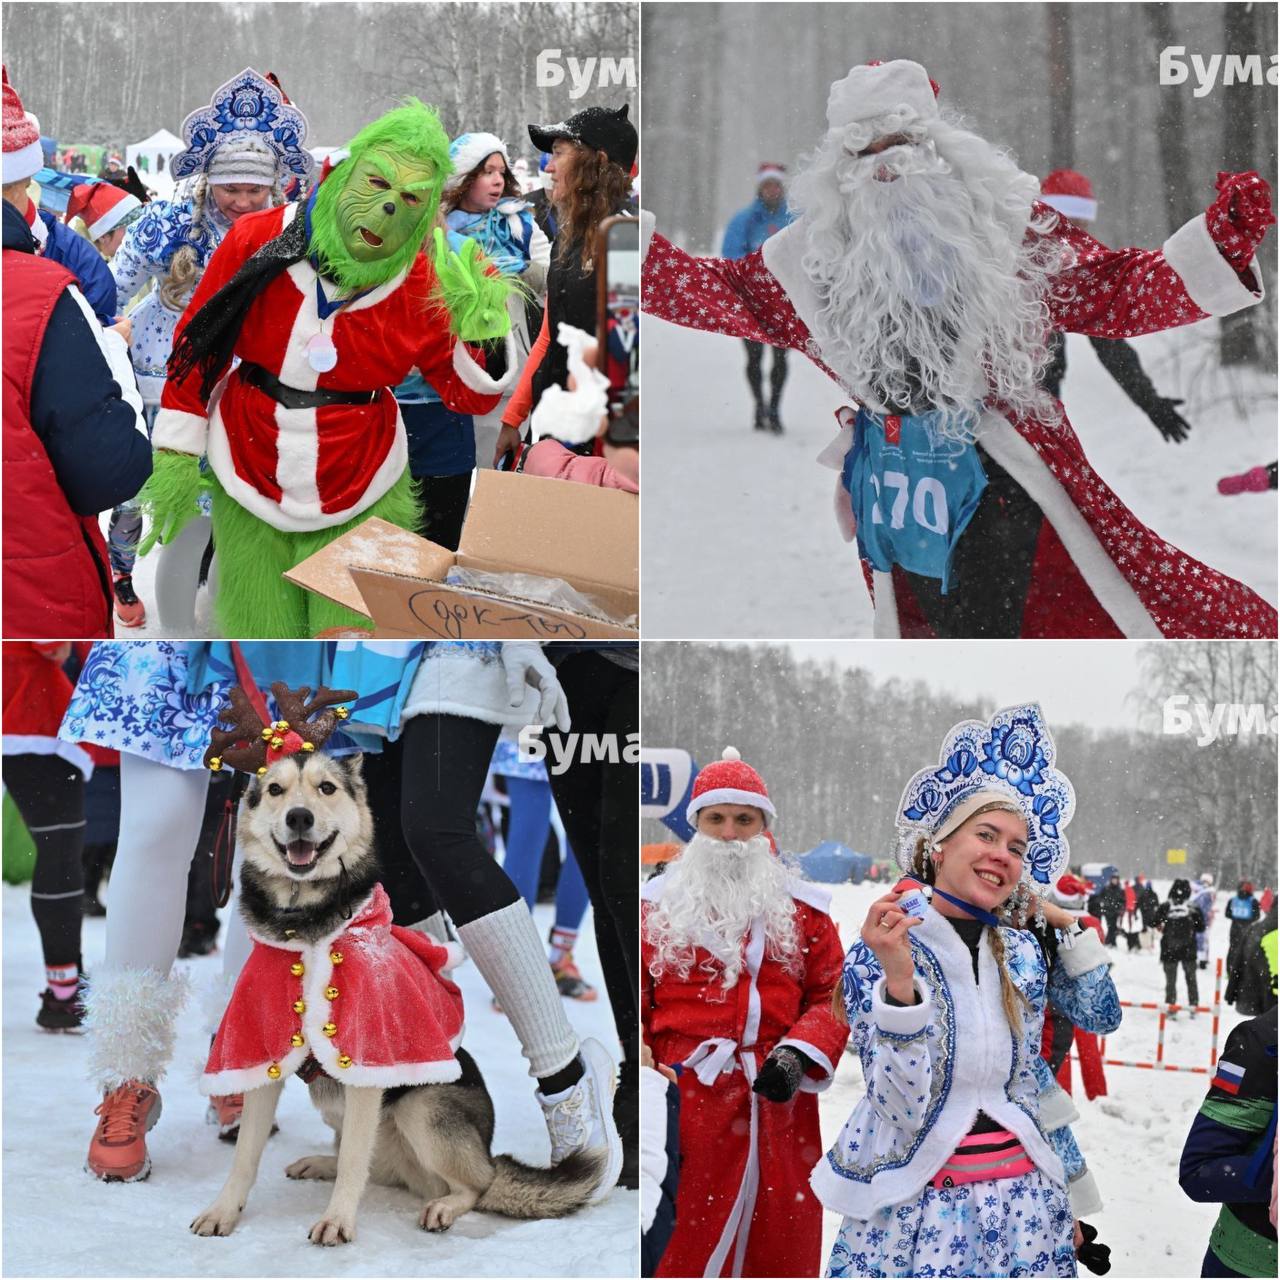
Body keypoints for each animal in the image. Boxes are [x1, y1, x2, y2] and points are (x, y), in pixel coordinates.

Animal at [193, 747, 604, 1244]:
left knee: (474, 1185)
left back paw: (444, 1205)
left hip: (420, 1107)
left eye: (326, 788)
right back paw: (321, 1162)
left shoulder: (366, 1061)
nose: (299, 817)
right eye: (275, 789)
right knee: (371, 1165)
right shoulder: (262, 1055)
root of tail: (487, 1151)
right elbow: (245, 1158)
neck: (307, 925)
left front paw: (337, 1221)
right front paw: (223, 1211)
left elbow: (355, 1160)